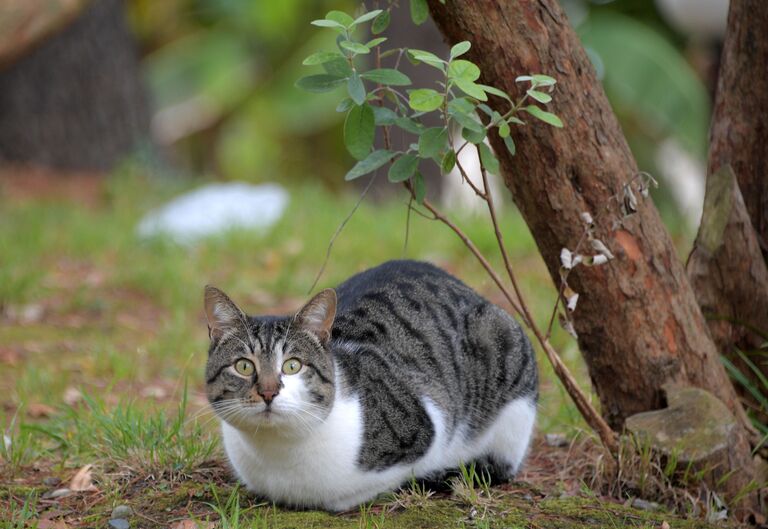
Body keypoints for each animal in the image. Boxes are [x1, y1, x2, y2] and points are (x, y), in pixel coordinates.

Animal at [206, 258, 540, 510]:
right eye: (244, 365)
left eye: (292, 366)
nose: (268, 392)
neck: (278, 456)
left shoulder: (429, 425)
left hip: (510, 374)